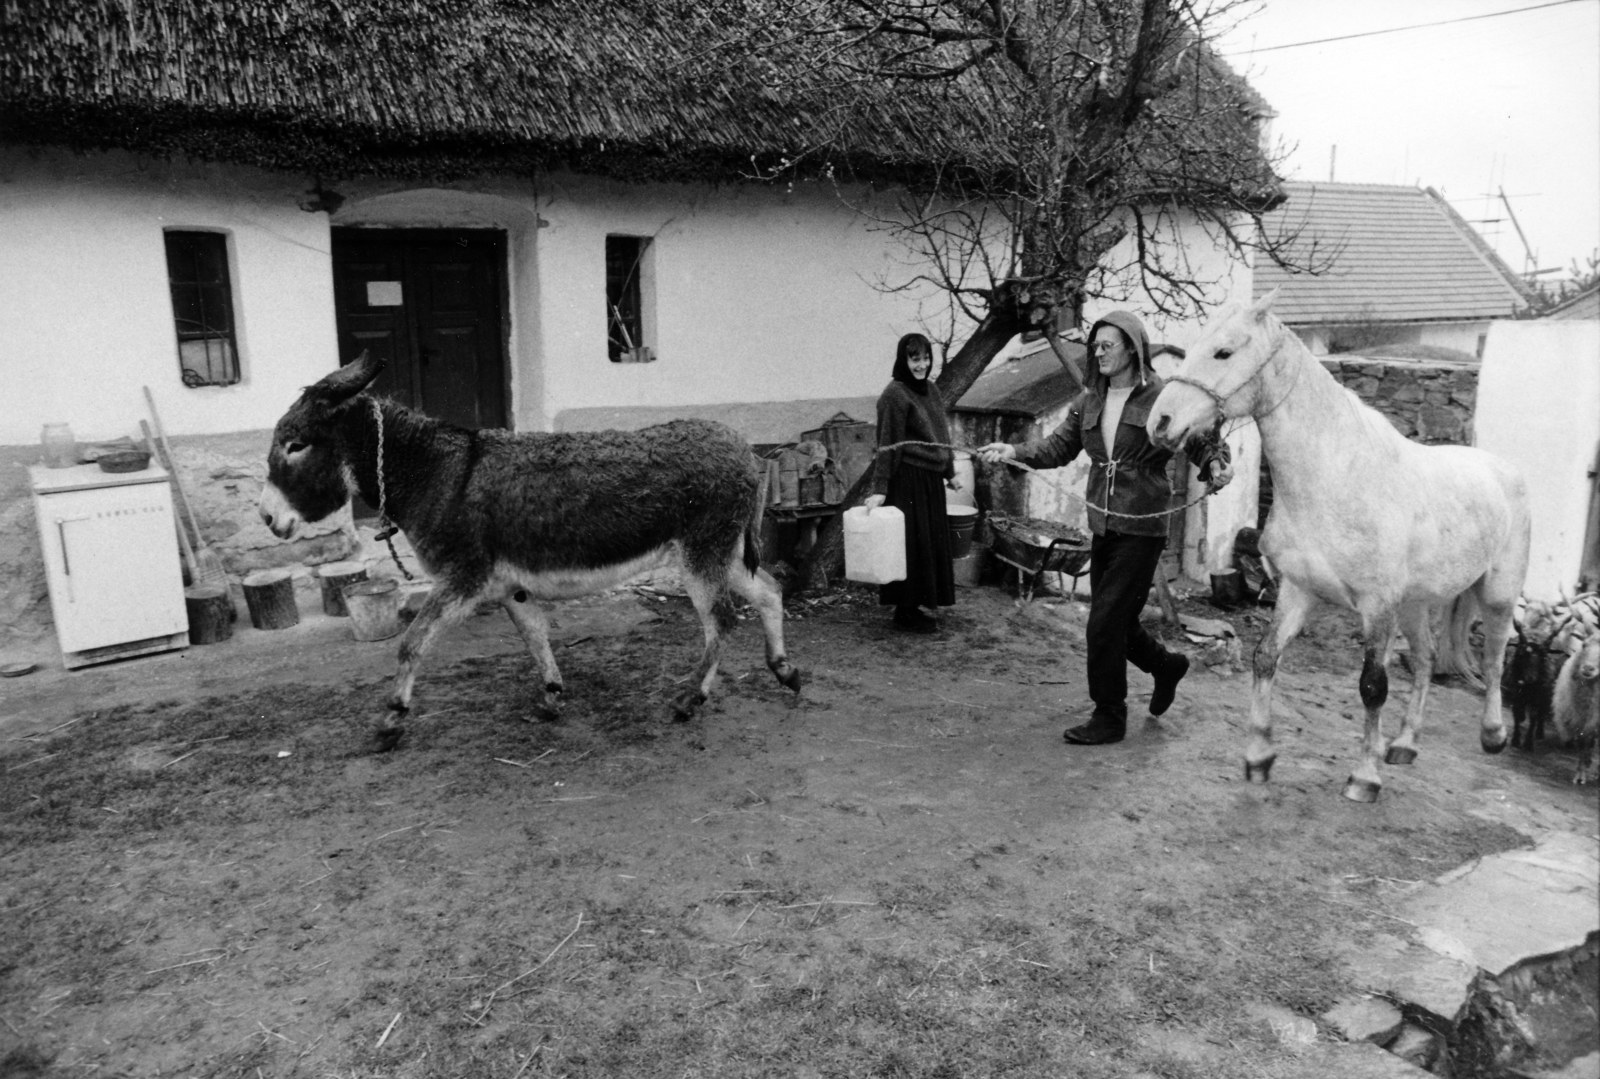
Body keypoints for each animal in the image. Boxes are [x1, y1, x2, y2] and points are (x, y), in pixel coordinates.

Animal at [259, 356, 800, 742]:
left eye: (296, 445)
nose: (266, 518)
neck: (433, 471)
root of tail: (745, 448)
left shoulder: (463, 577)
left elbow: (412, 643)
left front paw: (393, 718)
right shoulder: (507, 586)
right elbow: (535, 636)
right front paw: (552, 695)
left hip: (702, 552)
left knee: (721, 620)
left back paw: (690, 698)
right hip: (722, 551)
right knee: (769, 591)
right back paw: (784, 670)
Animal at [1145, 291, 1529, 797]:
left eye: (1223, 352)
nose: (1160, 422)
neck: (1335, 479)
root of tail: (1504, 471)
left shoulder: (1377, 607)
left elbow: (1372, 686)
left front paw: (1364, 776)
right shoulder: (1298, 591)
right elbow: (1265, 658)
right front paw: (1259, 756)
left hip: (1497, 596)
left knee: (1494, 660)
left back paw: (1492, 735)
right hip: (1415, 605)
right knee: (1426, 660)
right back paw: (1404, 744)